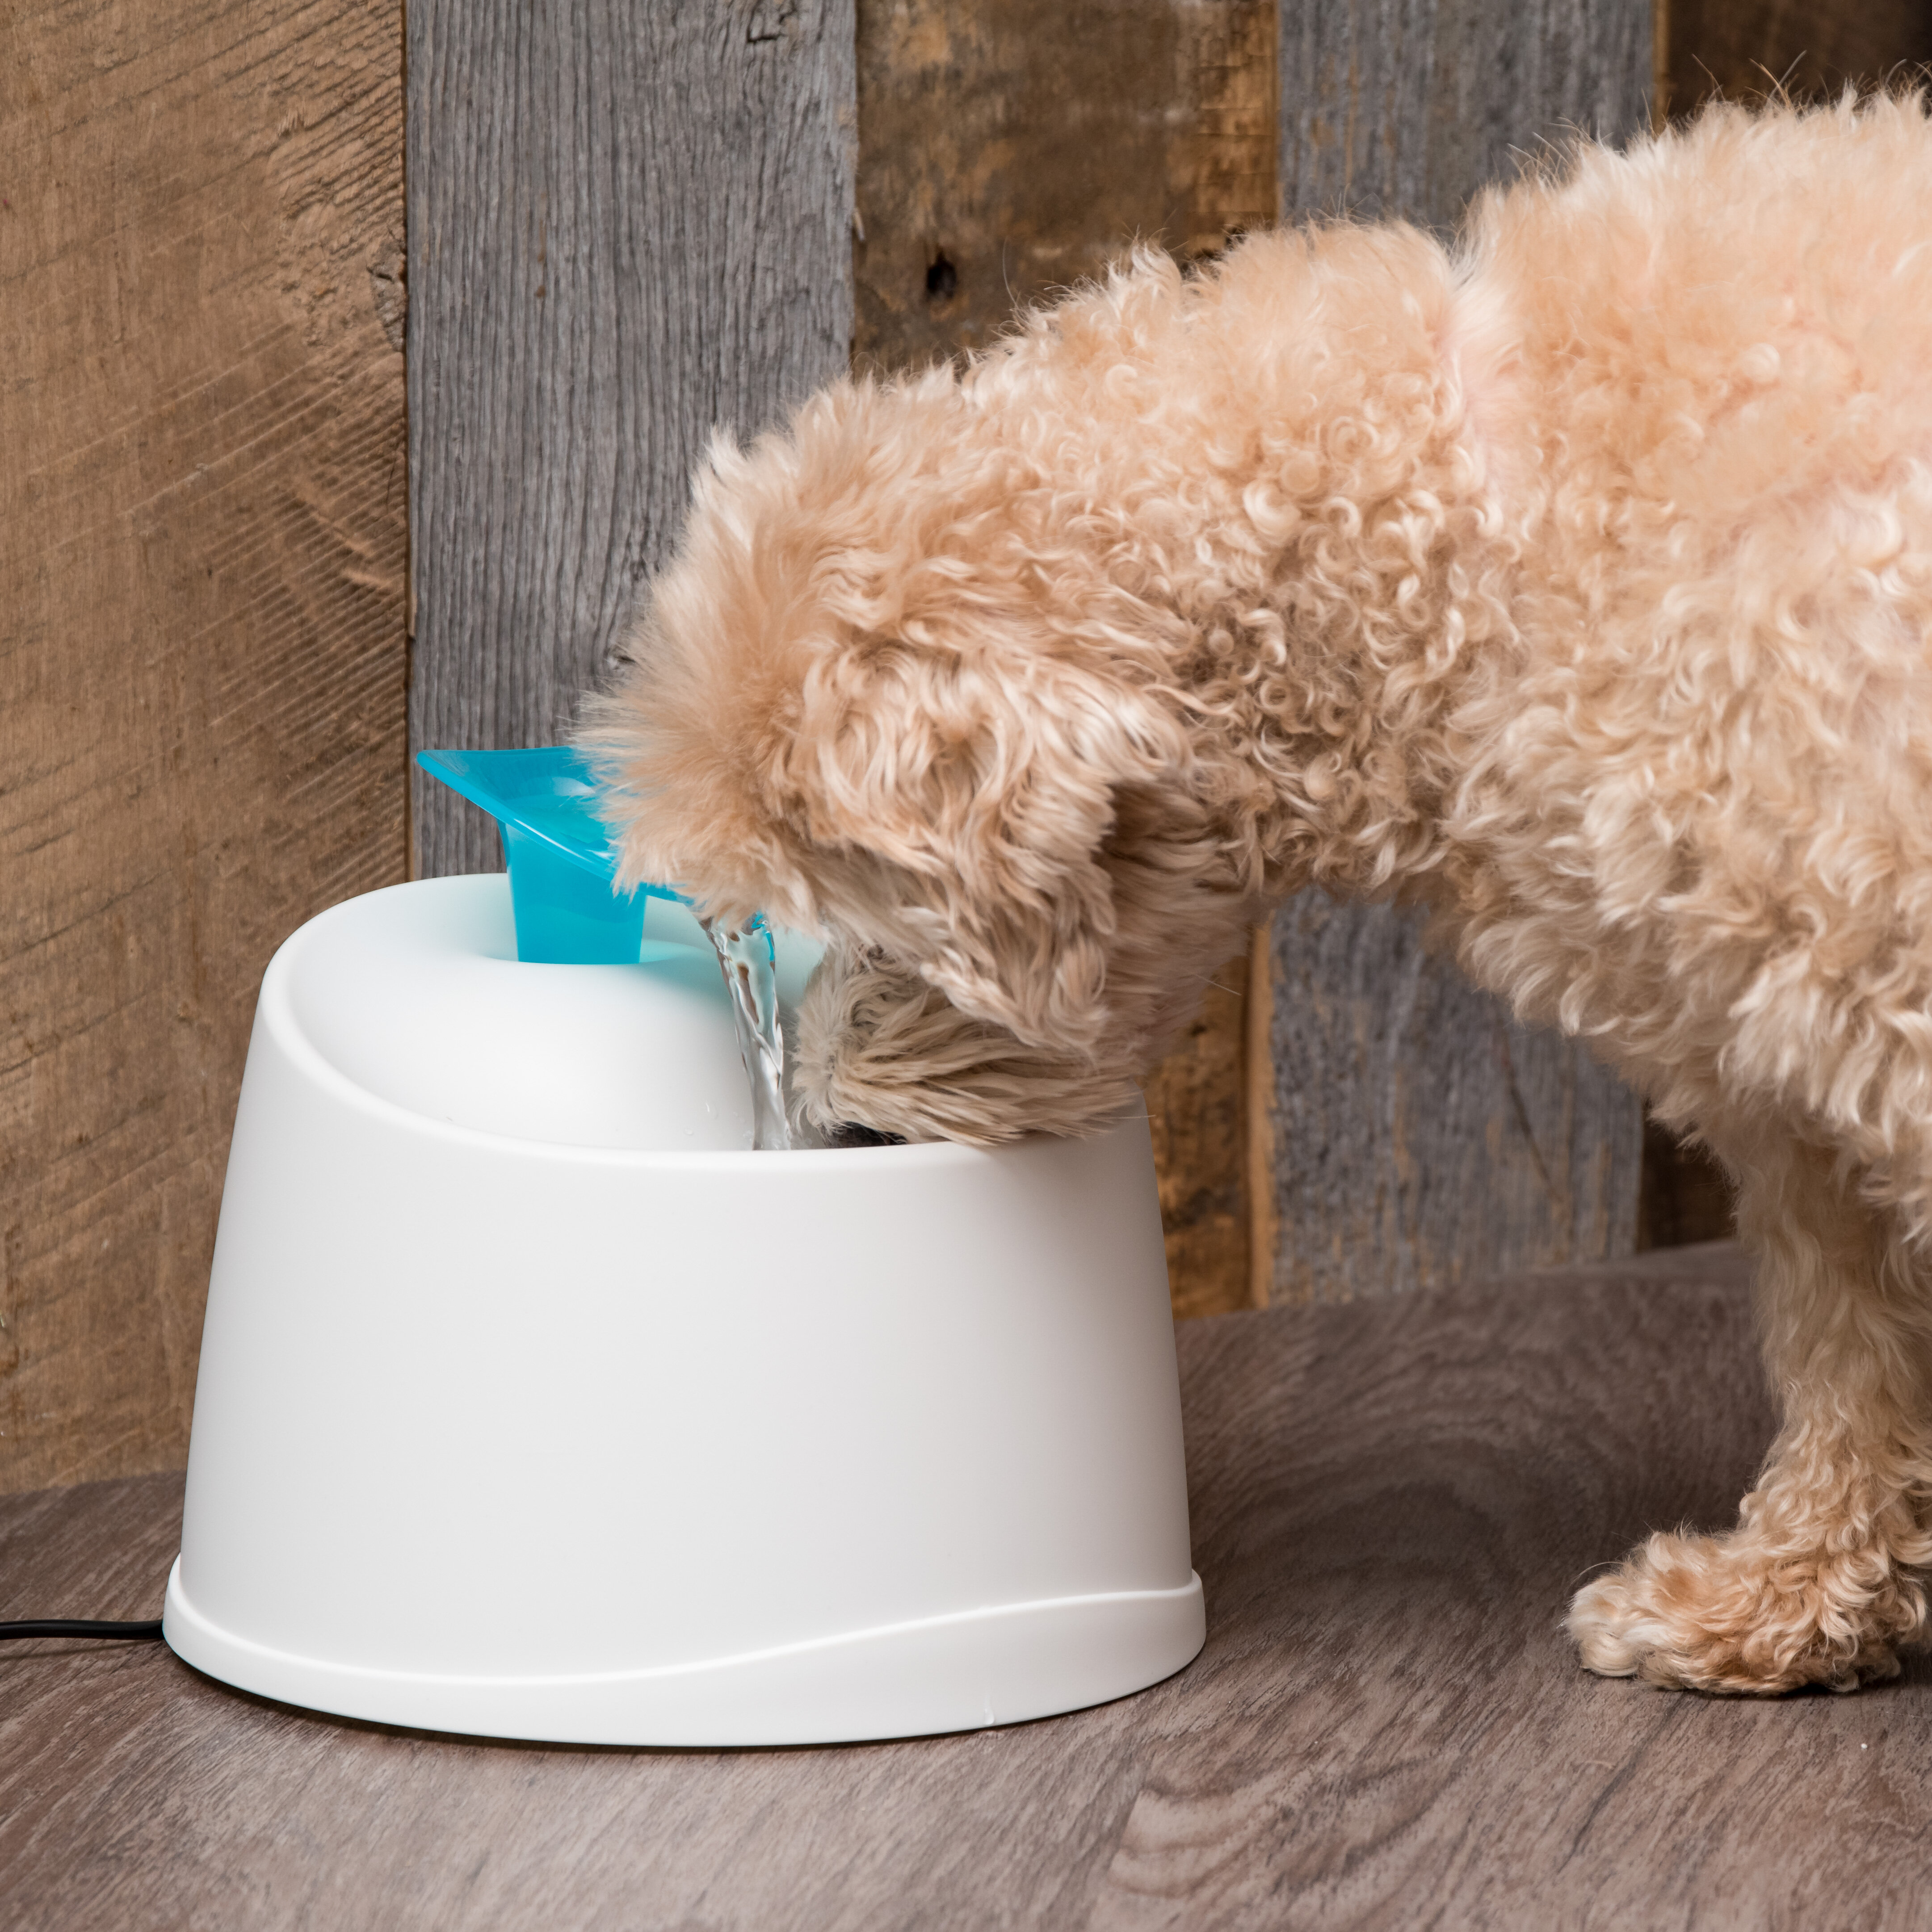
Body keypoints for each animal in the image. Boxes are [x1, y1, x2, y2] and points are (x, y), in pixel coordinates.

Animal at [580, 102, 1932, 1692]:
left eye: (856, 929)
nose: (837, 1132)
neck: (1465, 520)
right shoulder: (1780, 1053)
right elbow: (1850, 1348)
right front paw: (1790, 1599)